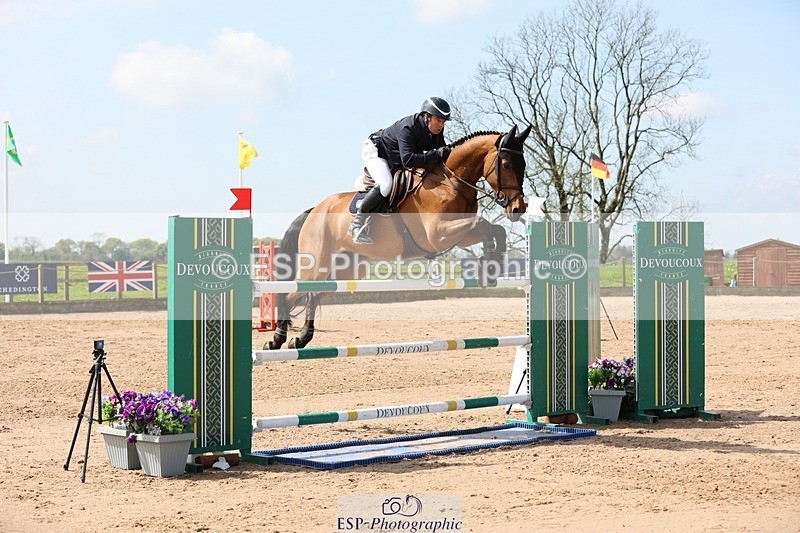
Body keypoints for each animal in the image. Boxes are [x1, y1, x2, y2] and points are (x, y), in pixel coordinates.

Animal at [266, 124, 532, 350]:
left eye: (523, 165)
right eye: (506, 165)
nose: (518, 208)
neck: (450, 182)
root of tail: (315, 209)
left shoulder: (459, 235)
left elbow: (495, 229)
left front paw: (492, 265)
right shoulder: (438, 234)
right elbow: (483, 224)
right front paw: (489, 264)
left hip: (347, 269)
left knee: (312, 294)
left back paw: (301, 338)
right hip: (316, 265)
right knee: (290, 292)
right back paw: (277, 339)